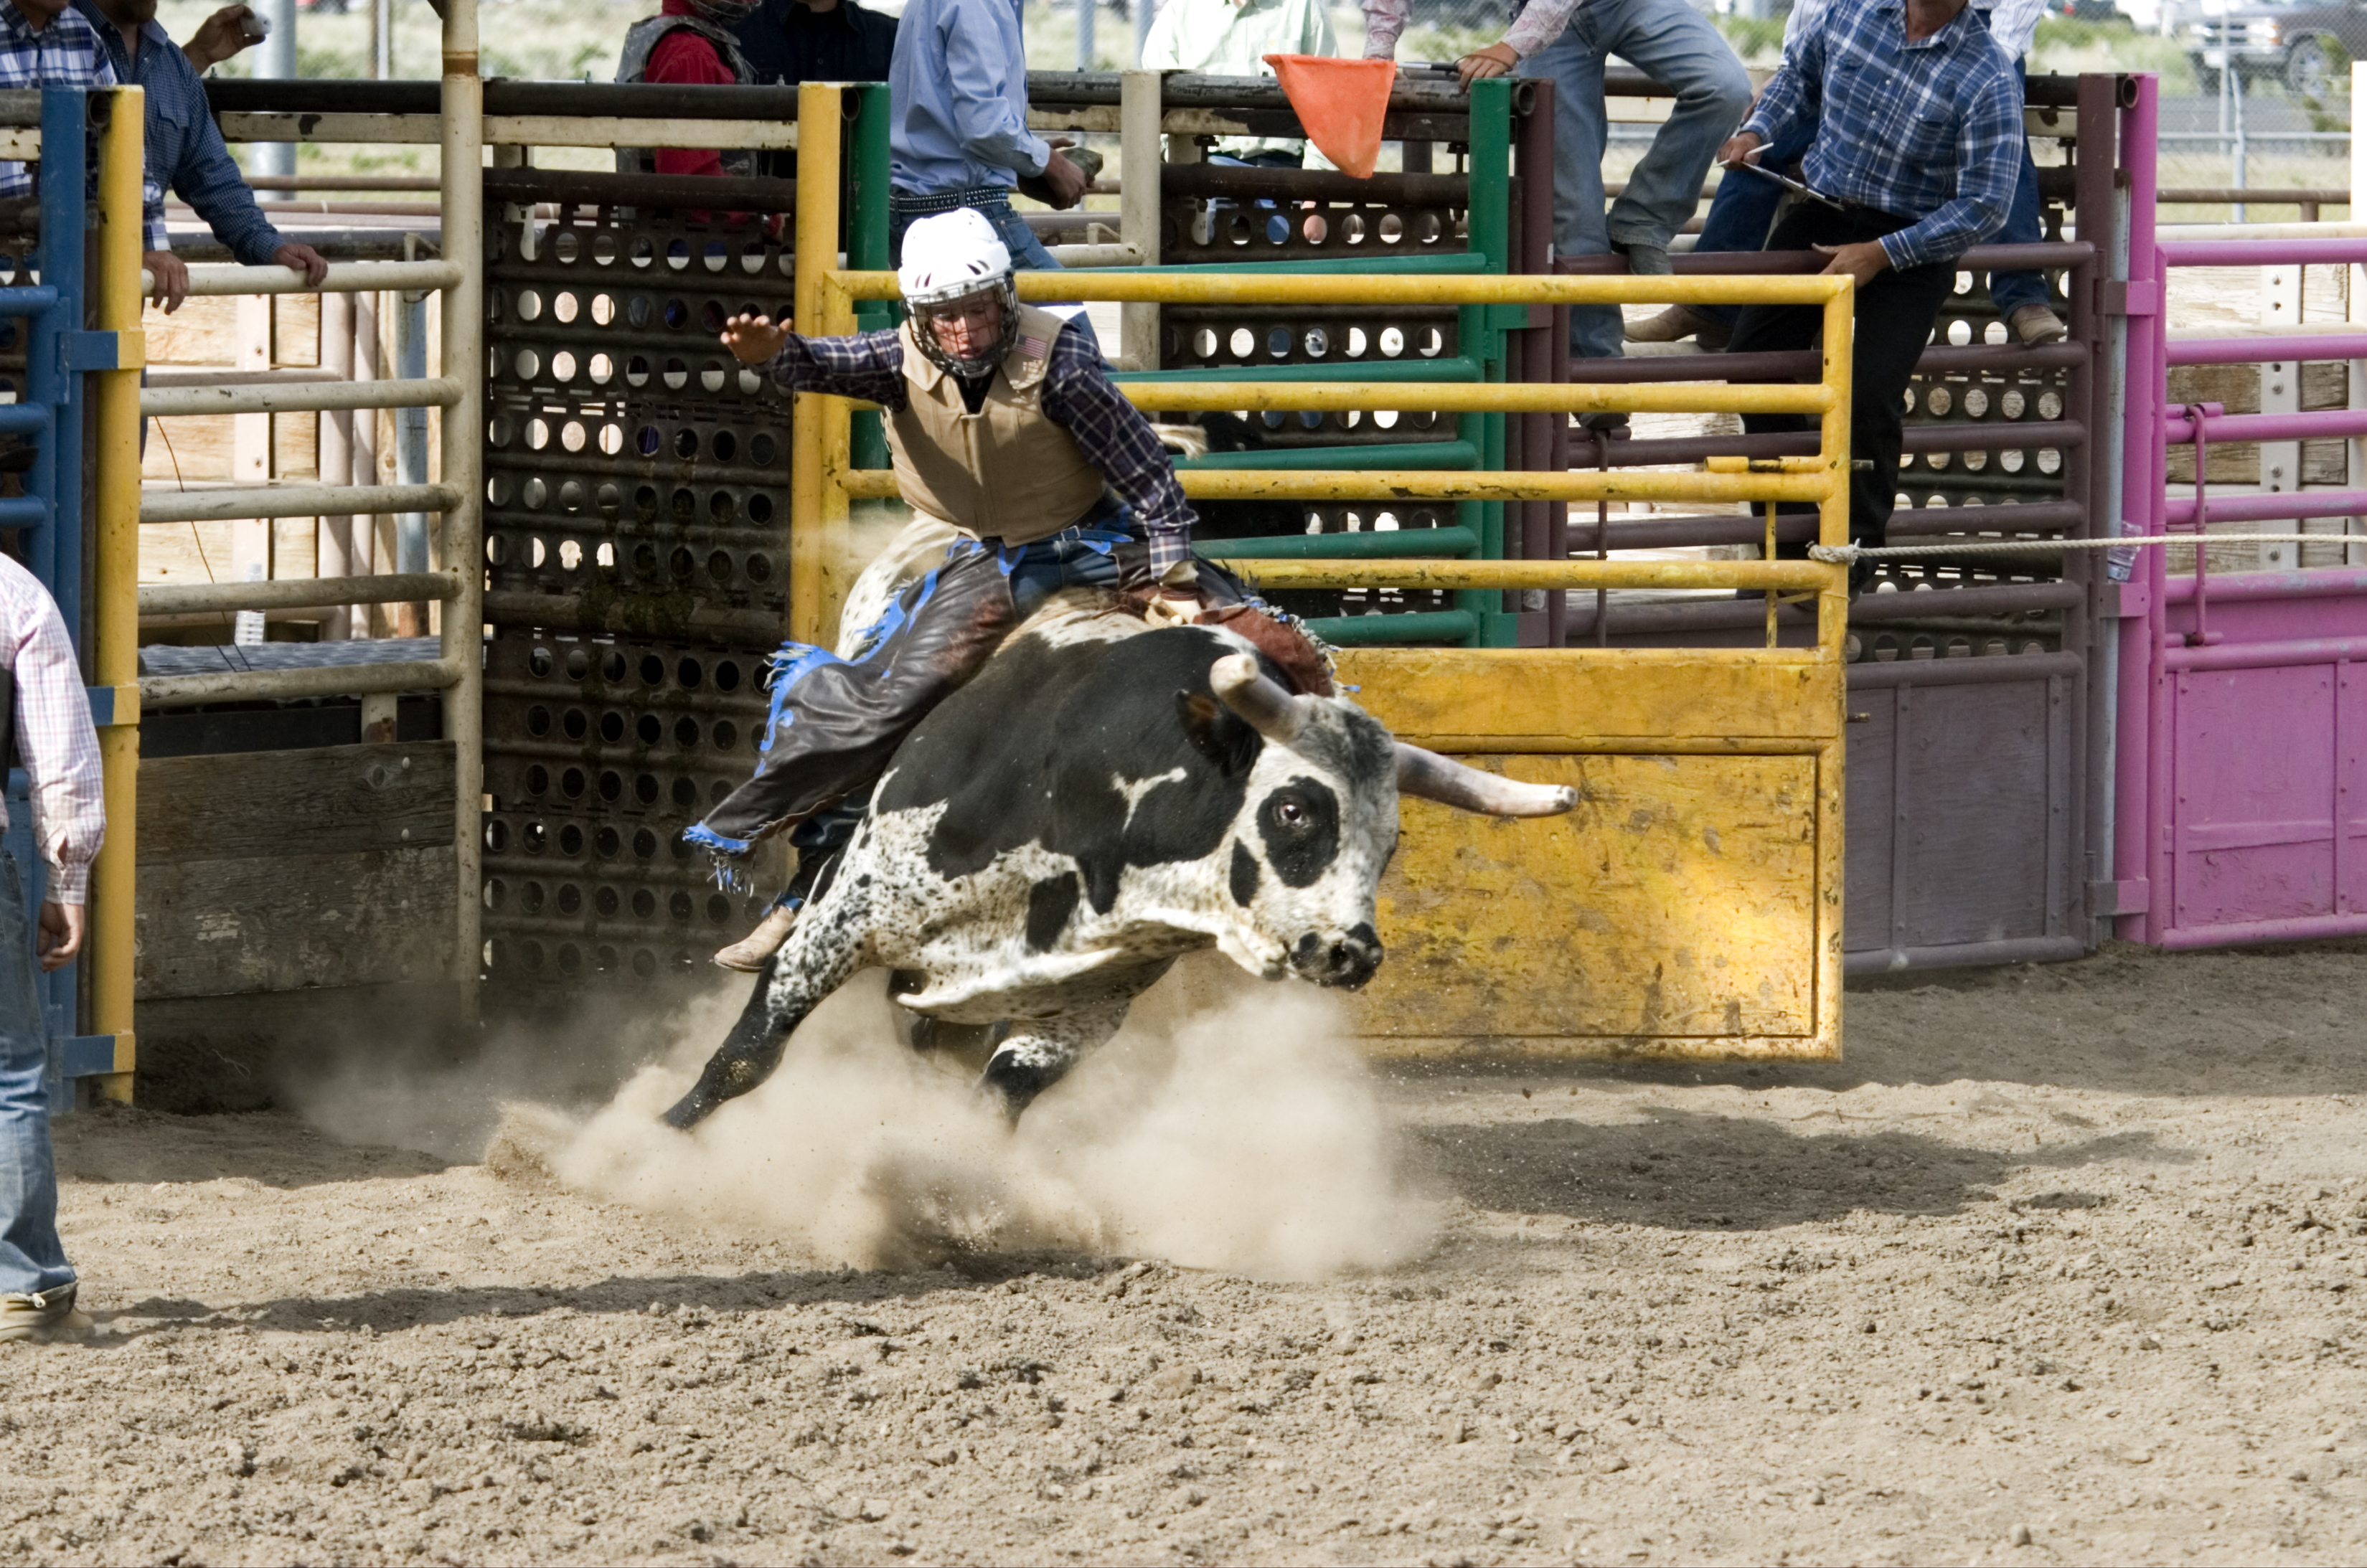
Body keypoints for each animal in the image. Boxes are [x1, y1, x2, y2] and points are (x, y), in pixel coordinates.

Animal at [661, 602, 1576, 1129]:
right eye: (1293, 810)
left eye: (1389, 843)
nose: (1352, 951)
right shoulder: (845, 918)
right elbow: (747, 1054)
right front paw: (657, 1140)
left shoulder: (1078, 1009)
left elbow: (992, 1104)